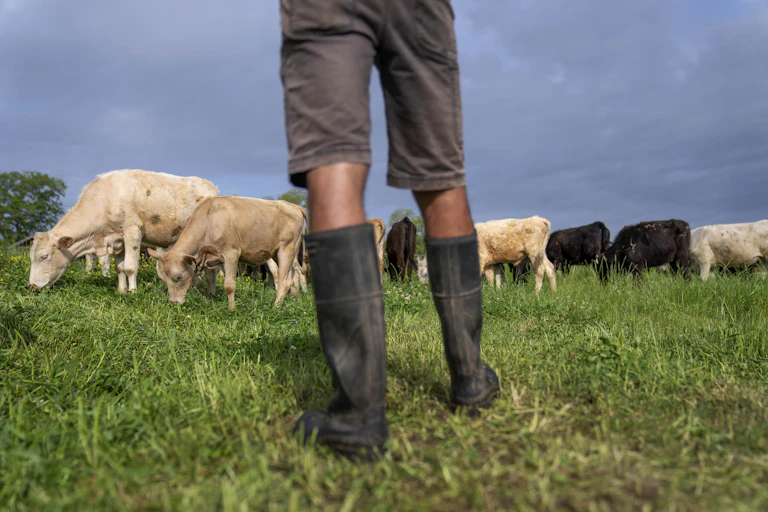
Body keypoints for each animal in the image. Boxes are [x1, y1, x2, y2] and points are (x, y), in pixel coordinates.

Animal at [28, 169, 218, 294]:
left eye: (44, 256)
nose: (31, 286)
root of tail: (210, 186)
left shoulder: (132, 232)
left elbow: (130, 267)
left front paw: (133, 292)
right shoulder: (116, 240)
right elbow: (119, 268)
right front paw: (121, 290)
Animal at [148, 197, 307, 311]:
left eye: (179, 276)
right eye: (163, 278)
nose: (173, 303)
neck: (209, 221)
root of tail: (293, 206)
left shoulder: (231, 253)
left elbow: (229, 285)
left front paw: (231, 309)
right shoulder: (209, 258)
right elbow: (210, 278)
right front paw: (211, 298)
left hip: (287, 249)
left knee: (284, 281)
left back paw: (276, 307)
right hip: (280, 253)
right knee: (293, 276)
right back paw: (292, 299)